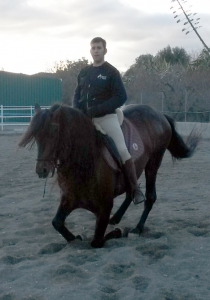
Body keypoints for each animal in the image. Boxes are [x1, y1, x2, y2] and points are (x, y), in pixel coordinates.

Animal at [18, 103, 199, 248]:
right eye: (36, 136)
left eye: (54, 130)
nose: (41, 170)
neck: (85, 160)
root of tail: (159, 114)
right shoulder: (69, 199)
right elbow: (56, 223)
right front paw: (76, 237)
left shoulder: (104, 207)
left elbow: (96, 241)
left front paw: (118, 232)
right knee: (131, 190)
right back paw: (117, 217)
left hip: (153, 164)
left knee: (150, 197)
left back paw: (137, 228)